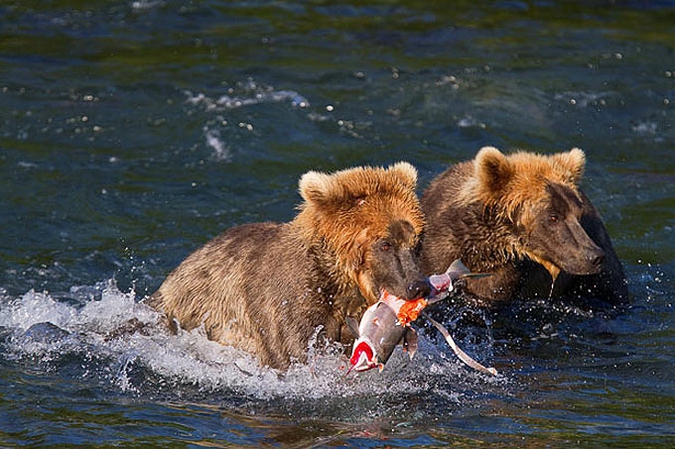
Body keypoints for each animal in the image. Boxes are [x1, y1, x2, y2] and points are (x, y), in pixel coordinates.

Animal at [150, 163, 430, 370]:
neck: (339, 285)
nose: (418, 285)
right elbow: (290, 351)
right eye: (386, 244)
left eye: (416, 241)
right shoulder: (288, 304)